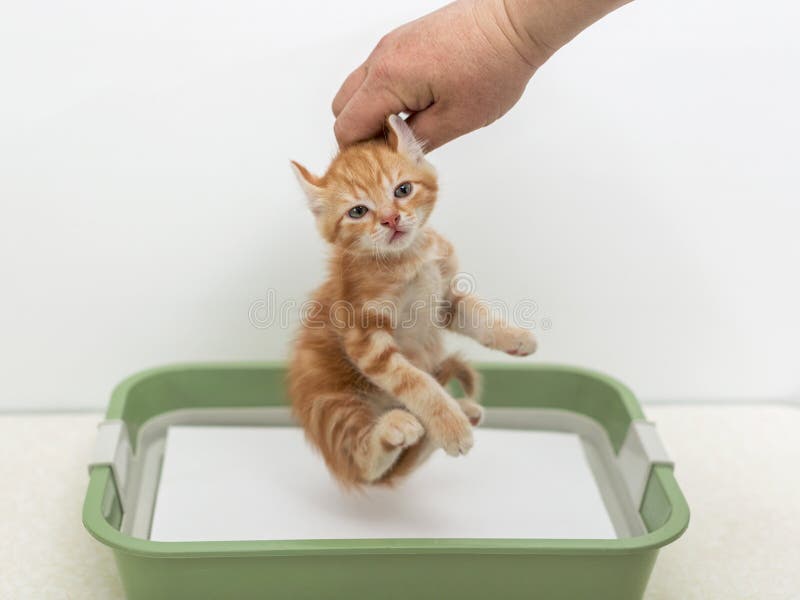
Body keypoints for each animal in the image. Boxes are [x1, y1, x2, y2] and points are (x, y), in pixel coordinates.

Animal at [288, 115, 536, 486]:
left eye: (402, 190)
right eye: (358, 211)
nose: (390, 218)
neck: (409, 258)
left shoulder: (444, 300)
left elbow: (478, 314)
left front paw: (515, 337)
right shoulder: (364, 335)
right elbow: (414, 380)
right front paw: (448, 424)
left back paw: (463, 412)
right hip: (332, 403)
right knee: (363, 464)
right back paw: (400, 428)